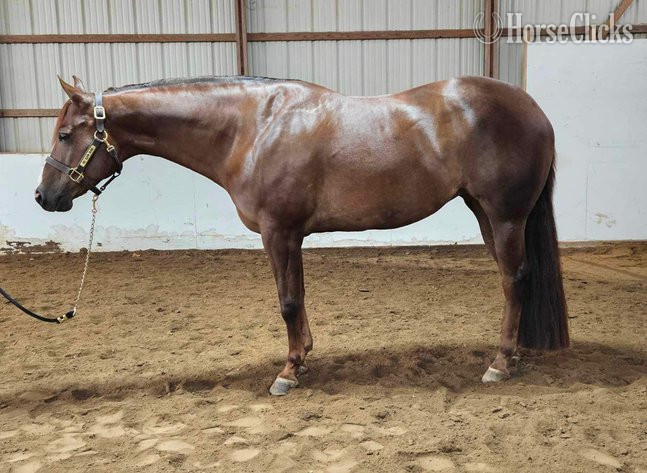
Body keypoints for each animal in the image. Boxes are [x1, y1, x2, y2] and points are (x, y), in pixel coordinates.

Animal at [36, 75, 569, 395]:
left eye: (64, 135)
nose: (44, 196)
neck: (252, 128)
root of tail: (534, 109)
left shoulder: (279, 232)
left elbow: (287, 301)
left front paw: (287, 373)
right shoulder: (291, 236)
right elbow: (299, 297)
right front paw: (304, 358)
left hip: (504, 216)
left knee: (515, 280)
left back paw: (500, 363)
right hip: (484, 213)